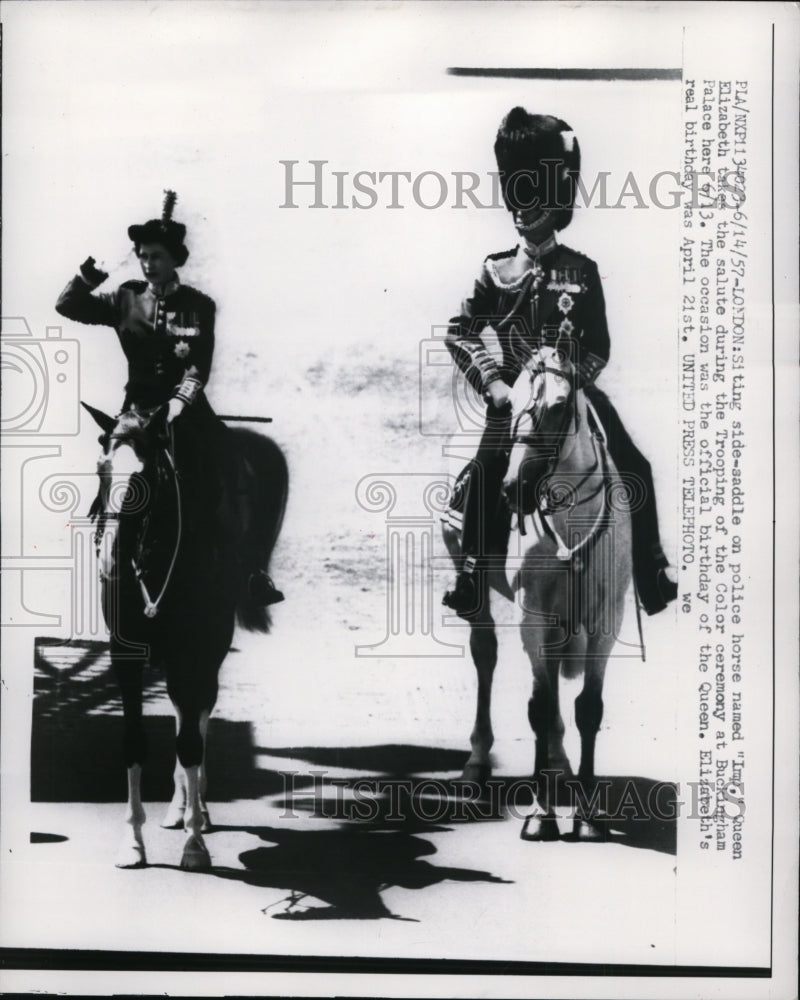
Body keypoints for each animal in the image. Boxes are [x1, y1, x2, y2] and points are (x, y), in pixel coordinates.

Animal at [84, 402, 290, 872]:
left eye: (144, 477)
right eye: (102, 469)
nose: (111, 561)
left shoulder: (195, 652)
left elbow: (192, 743)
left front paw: (195, 846)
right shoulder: (125, 655)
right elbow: (135, 741)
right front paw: (132, 844)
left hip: (205, 657)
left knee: (198, 716)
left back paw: (198, 812)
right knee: (183, 711)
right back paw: (178, 808)